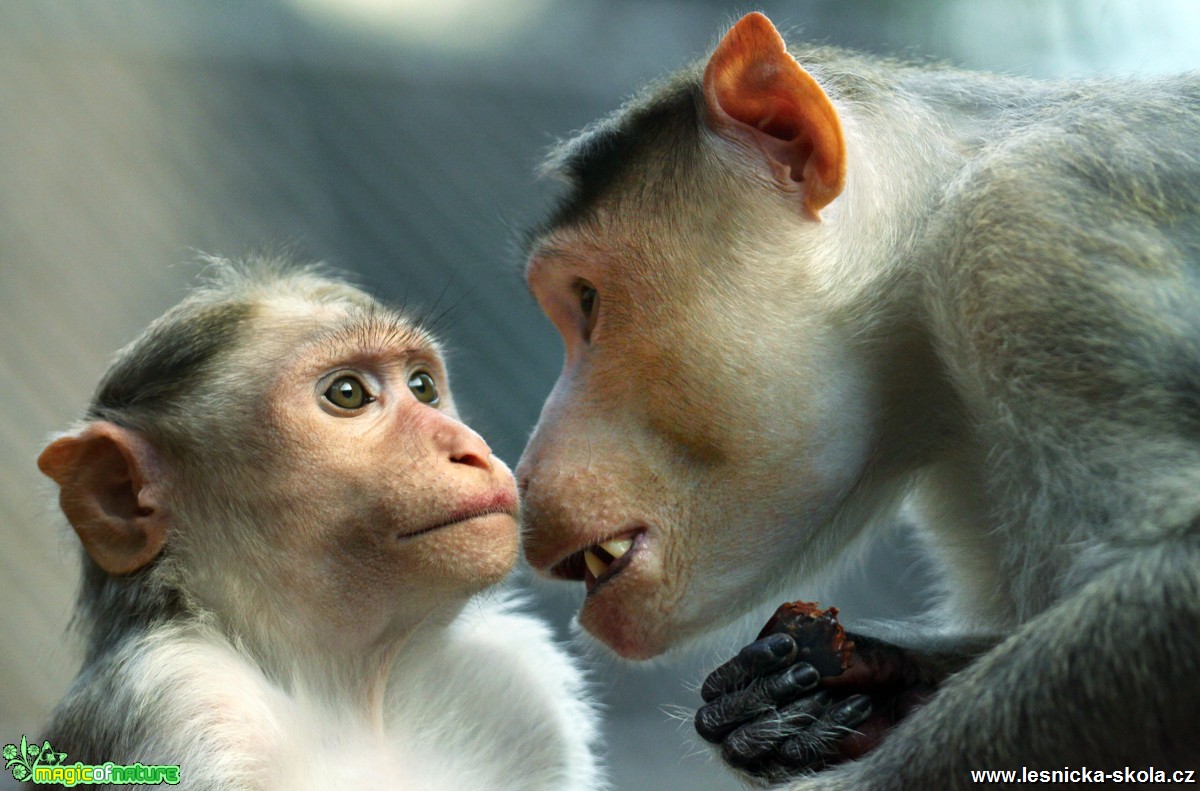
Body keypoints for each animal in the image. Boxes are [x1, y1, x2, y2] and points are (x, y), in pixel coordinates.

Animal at [36, 261, 600, 791]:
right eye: (347, 393)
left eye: (423, 387)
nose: (471, 449)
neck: (347, 693)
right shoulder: (185, 704)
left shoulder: (516, 690)